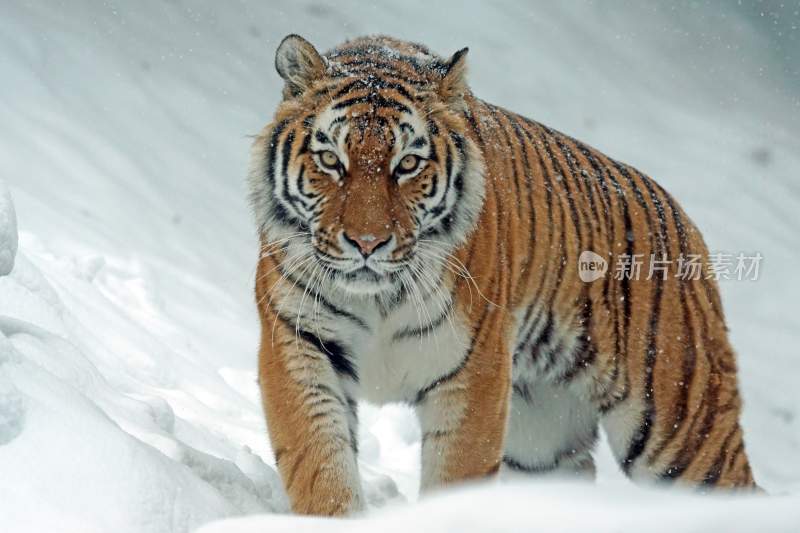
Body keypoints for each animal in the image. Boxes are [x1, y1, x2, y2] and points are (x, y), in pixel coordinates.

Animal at [248, 34, 756, 516]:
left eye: (407, 164)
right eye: (331, 160)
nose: (367, 243)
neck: (378, 298)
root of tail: (682, 217)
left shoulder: (474, 370)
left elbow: (455, 476)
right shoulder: (298, 343)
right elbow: (319, 464)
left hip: (682, 428)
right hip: (542, 440)